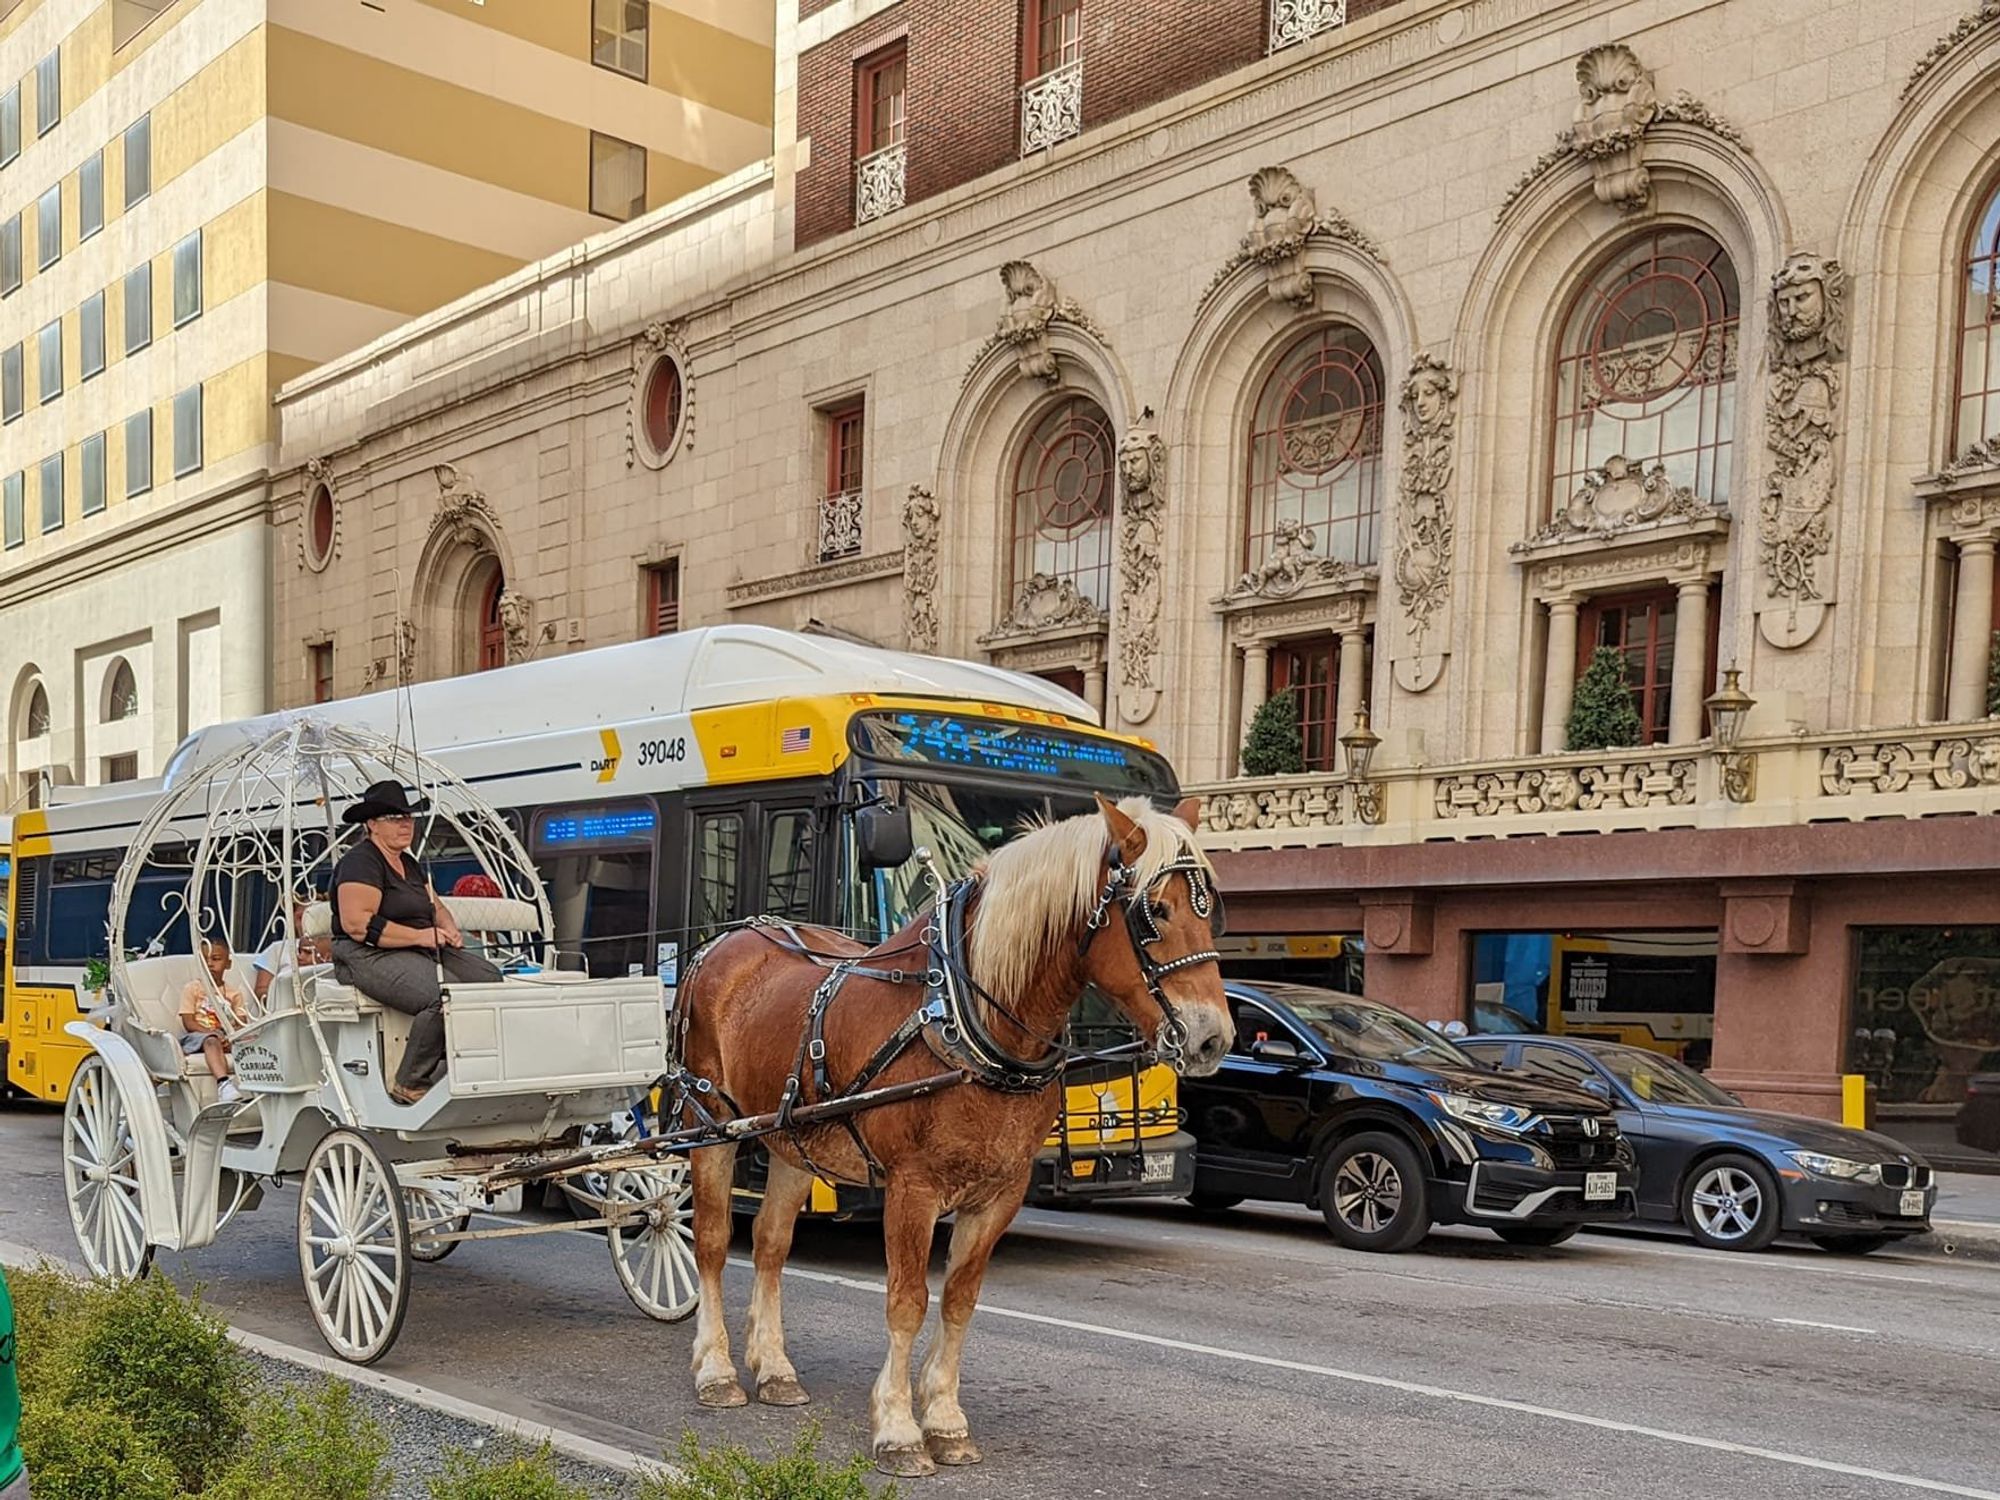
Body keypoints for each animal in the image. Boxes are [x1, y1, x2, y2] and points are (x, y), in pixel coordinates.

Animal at [675, 793, 1233, 1477]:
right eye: (1156, 911)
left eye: (1213, 911)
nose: (1213, 1038)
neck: (970, 1022)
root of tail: (727, 940)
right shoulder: (912, 1191)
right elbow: (907, 1301)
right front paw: (898, 1429)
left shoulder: (999, 1194)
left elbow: (960, 1300)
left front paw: (943, 1418)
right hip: (709, 1126)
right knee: (711, 1242)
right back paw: (717, 1369)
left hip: (792, 1142)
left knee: (770, 1246)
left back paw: (775, 1368)